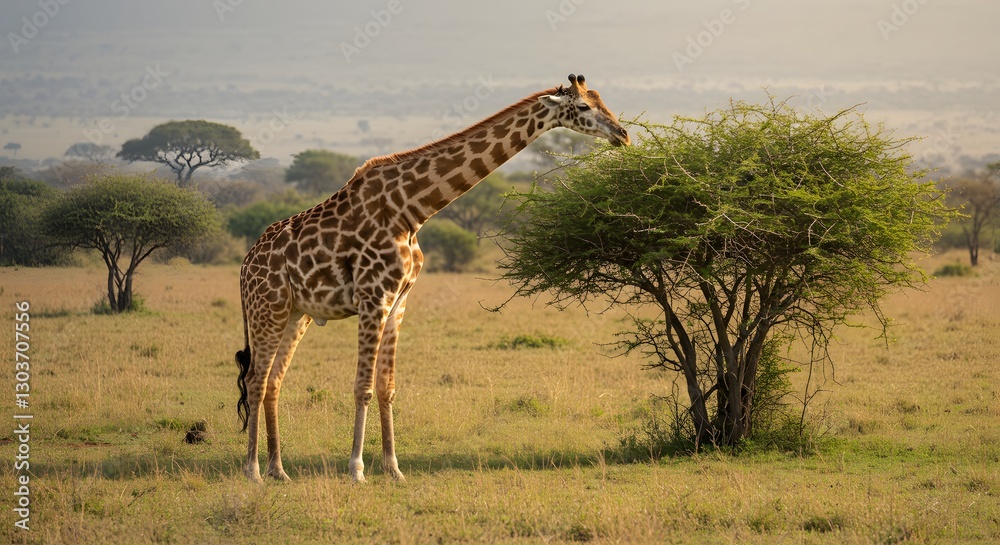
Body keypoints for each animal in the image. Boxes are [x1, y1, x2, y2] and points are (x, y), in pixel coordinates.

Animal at [236, 74, 630, 483]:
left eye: (601, 99)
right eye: (583, 106)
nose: (623, 134)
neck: (410, 210)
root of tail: (245, 265)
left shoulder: (398, 302)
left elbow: (386, 387)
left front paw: (393, 468)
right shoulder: (373, 299)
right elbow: (362, 387)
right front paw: (357, 469)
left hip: (297, 314)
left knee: (273, 382)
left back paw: (279, 470)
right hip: (267, 309)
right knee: (255, 380)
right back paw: (253, 470)